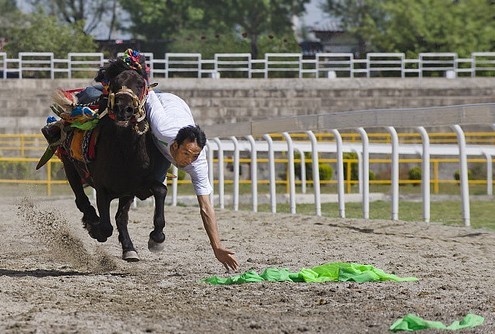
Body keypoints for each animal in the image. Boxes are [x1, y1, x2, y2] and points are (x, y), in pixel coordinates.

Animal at [51, 60, 167, 260]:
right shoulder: (102, 188)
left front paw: (156, 237)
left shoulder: (138, 185)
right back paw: (91, 221)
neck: (124, 152)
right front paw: (95, 228)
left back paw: (129, 248)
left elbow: (160, 190)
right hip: (70, 166)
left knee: (121, 217)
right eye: (114, 83)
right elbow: (105, 227)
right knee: (81, 200)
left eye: (140, 84)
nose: (123, 108)